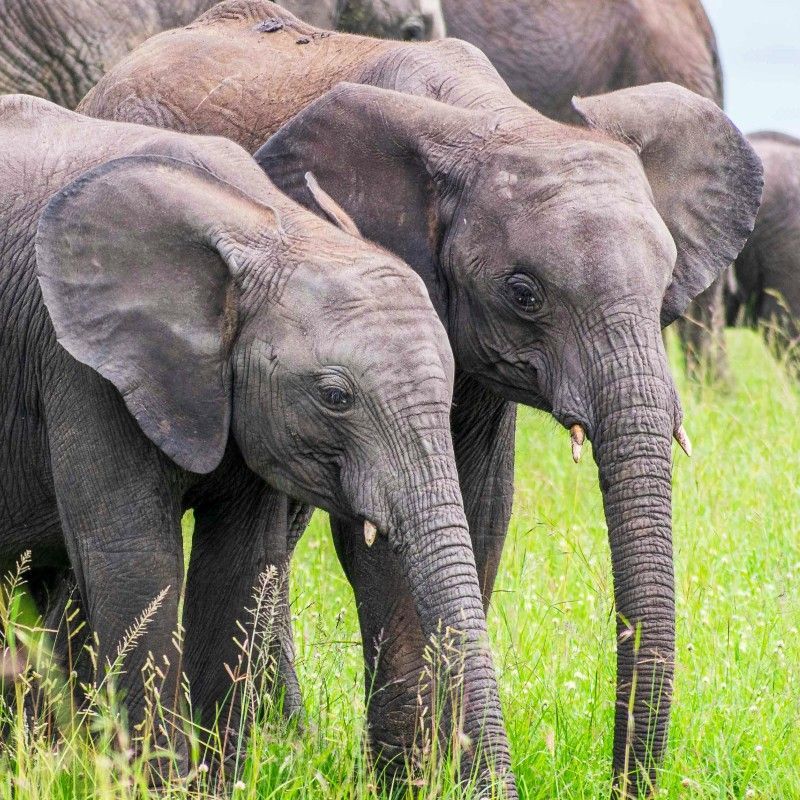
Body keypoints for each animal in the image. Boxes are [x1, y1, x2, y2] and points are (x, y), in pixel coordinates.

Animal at [0, 93, 513, 793]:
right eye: (335, 396)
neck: (264, 229)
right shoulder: (80, 366)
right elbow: (136, 566)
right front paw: (168, 790)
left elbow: (238, 571)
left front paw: (219, 788)